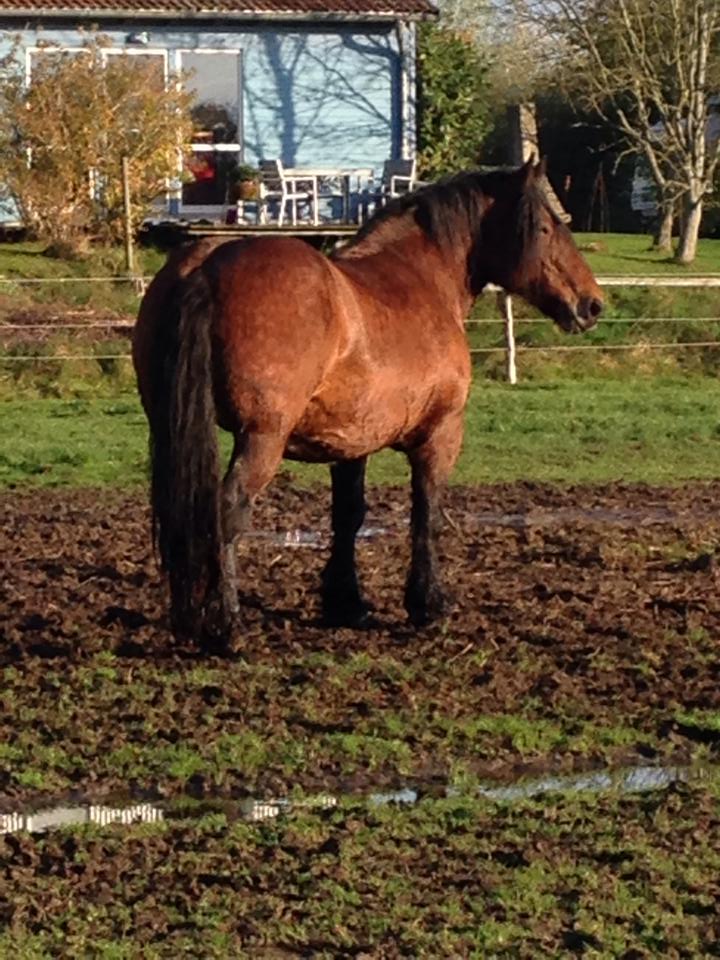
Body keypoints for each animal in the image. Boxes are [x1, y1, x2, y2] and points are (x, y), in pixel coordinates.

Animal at [134, 161, 600, 648]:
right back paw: (226, 625)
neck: (422, 277)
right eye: (545, 227)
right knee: (226, 513)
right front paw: (429, 603)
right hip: (262, 439)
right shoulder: (440, 434)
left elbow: (348, 516)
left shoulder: (348, 444)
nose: (591, 305)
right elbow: (427, 513)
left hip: (170, 429)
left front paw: (347, 603)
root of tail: (205, 269)